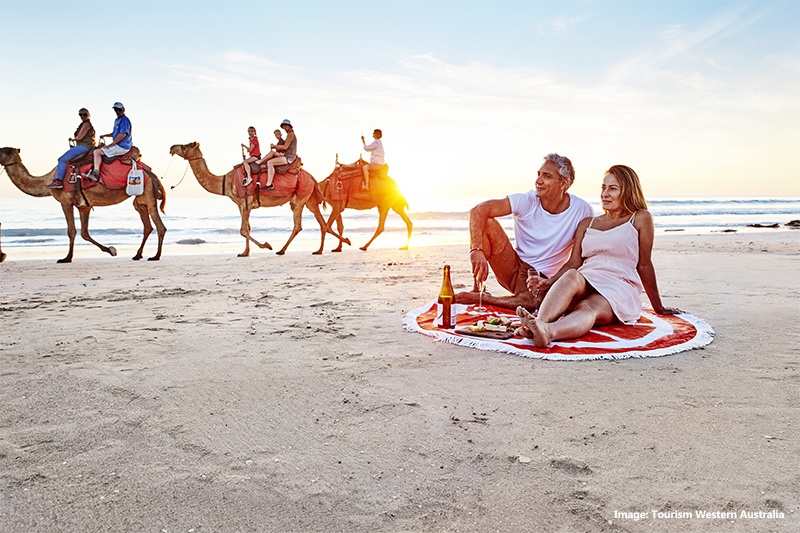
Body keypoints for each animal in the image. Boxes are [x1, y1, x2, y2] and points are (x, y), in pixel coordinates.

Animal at [0, 145, 166, 262]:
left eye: (2, 150)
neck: (46, 181)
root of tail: (151, 171)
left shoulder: (65, 202)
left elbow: (72, 231)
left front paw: (67, 258)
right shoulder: (83, 206)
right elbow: (84, 233)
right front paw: (111, 250)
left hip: (147, 193)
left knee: (159, 226)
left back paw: (155, 256)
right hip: (140, 199)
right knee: (147, 225)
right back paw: (138, 255)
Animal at [169, 143, 346, 256]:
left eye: (185, 146)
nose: (171, 147)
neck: (226, 181)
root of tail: (312, 177)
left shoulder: (245, 202)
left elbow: (243, 230)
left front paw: (266, 246)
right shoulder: (241, 205)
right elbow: (247, 228)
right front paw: (245, 252)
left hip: (302, 197)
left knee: (299, 226)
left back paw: (281, 250)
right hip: (308, 198)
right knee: (322, 223)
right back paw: (328, 247)